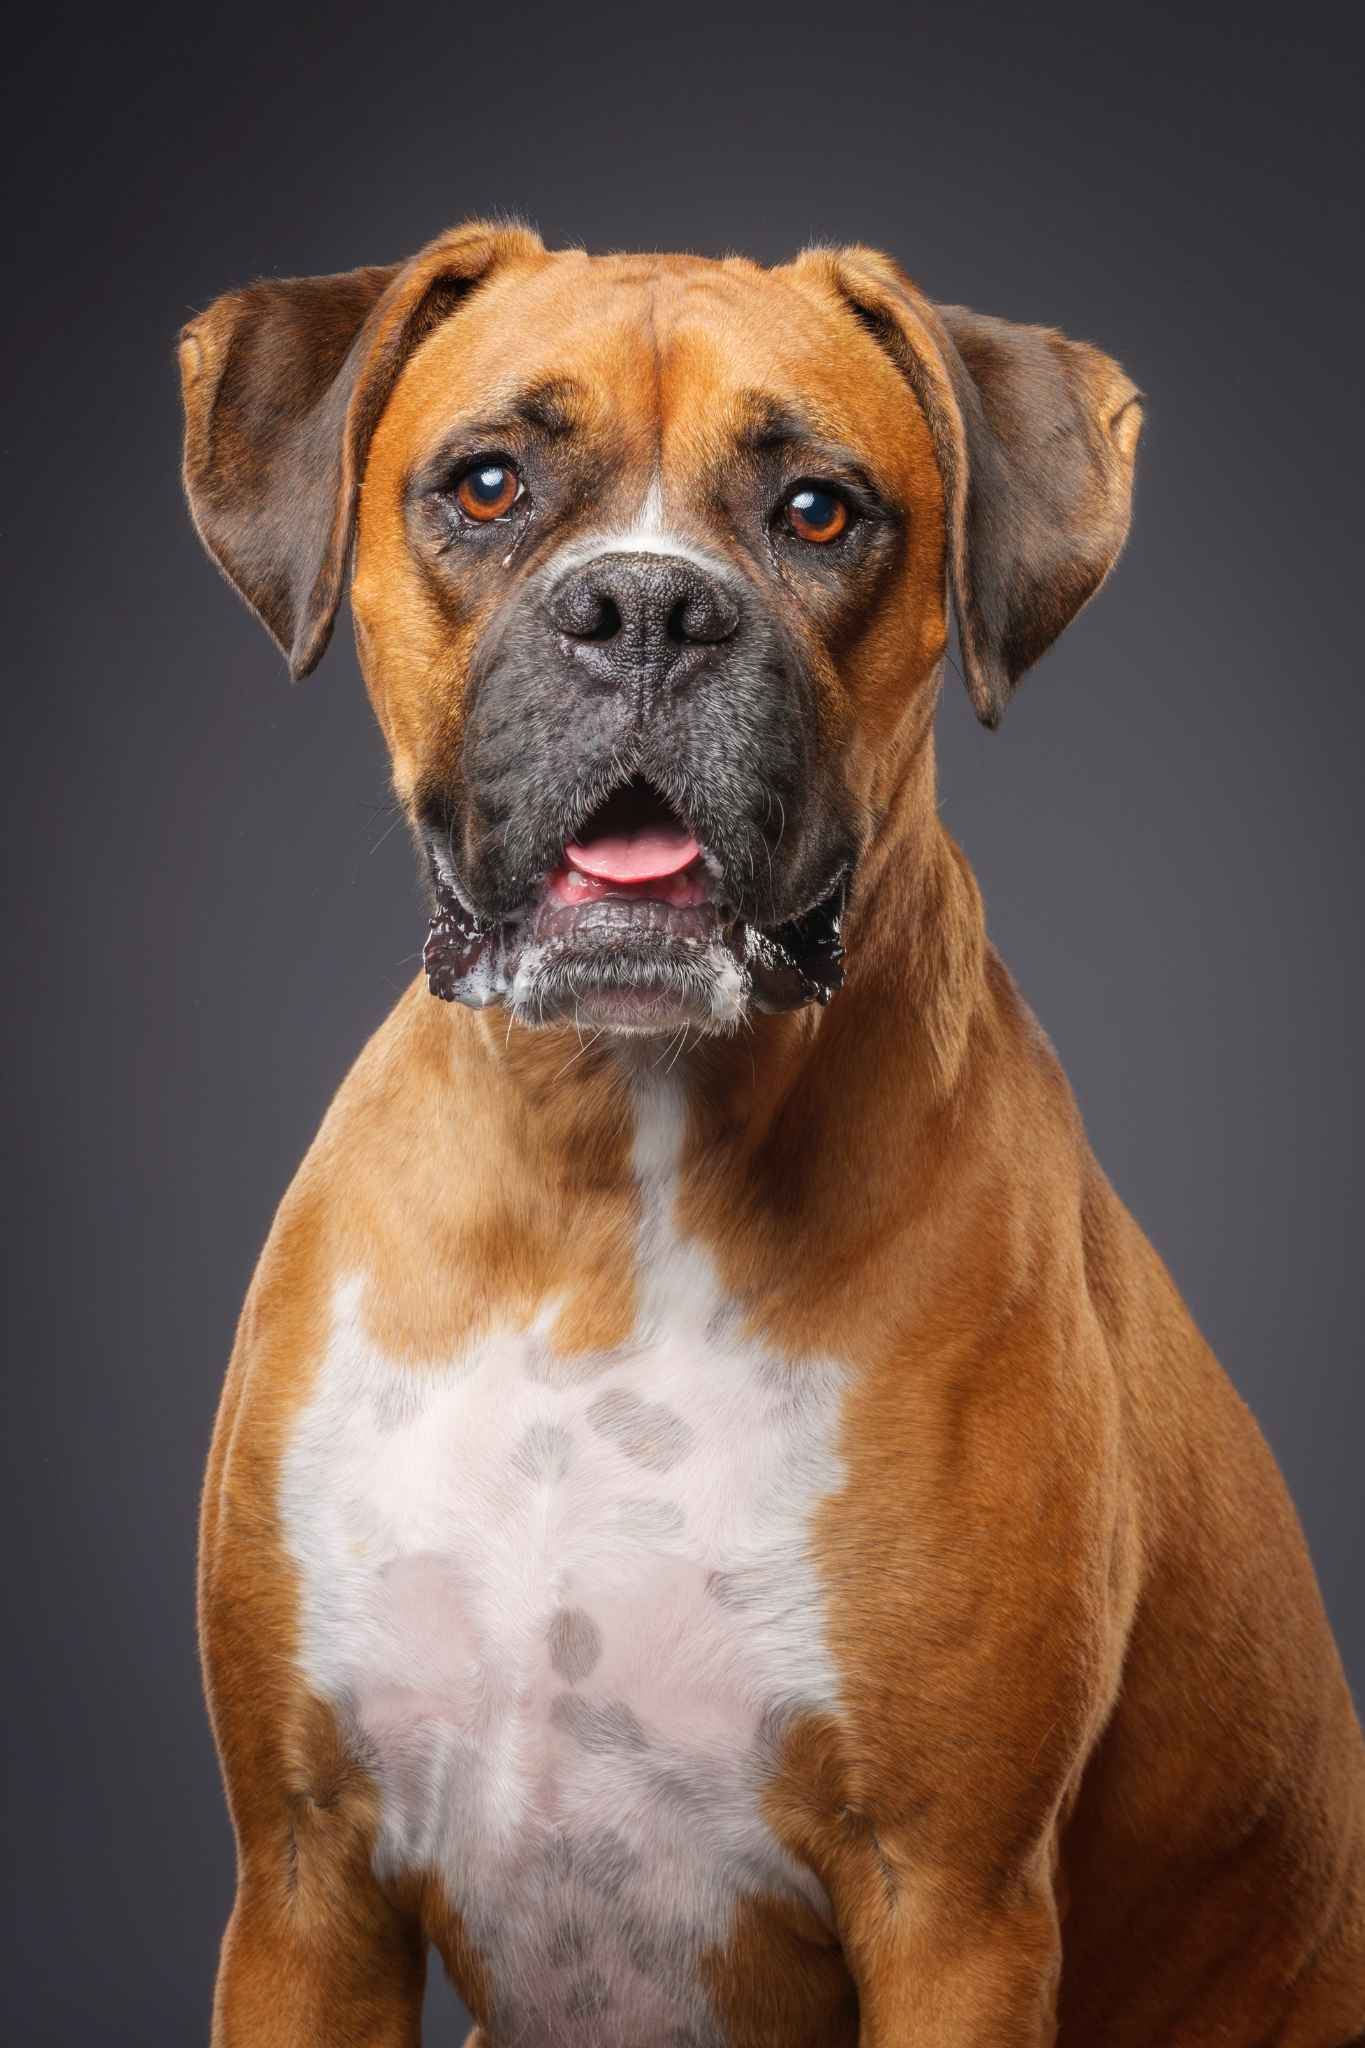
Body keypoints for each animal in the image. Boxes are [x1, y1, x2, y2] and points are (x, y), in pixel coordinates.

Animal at [181, 224, 1365, 2048]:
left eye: (819, 509)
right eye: (488, 483)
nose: (644, 608)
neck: (601, 1186)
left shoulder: (953, 1907)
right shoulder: (308, 1886)